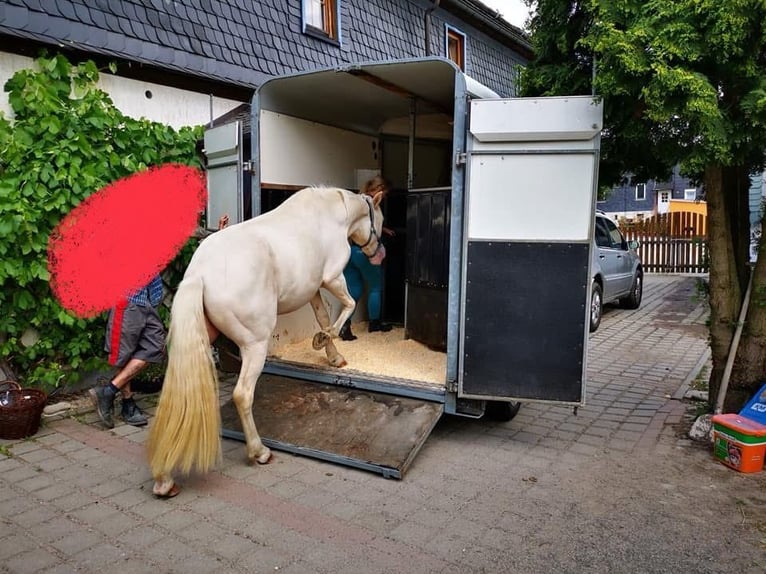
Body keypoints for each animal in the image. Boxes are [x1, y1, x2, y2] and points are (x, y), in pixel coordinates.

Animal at [146, 187, 384, 498]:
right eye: (380, 220)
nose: (377, 254)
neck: (332, 214)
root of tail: (200, 274)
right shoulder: (332, 279)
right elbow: (348, 306)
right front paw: (324, 340)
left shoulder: (312, 289)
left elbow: (322, 316)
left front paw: (332, 354)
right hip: (255, 346)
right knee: (242, 394)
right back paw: (259, 451)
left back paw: (165, 479)